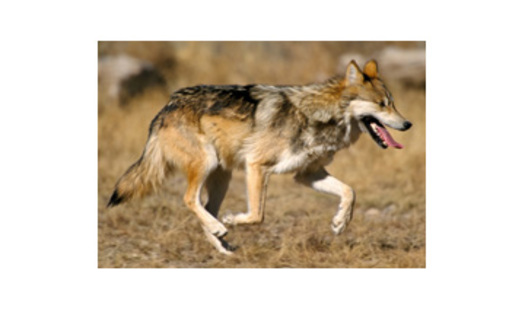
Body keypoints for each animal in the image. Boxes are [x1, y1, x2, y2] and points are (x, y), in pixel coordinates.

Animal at [106, 59, 412, 256]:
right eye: (382, 104)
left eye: (393, 103)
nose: (408, 124)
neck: (319, 116)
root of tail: (166, 106)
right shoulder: (257, 166)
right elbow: (257, 215)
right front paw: (233, 220)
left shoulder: (307, 174)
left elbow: (350, 191)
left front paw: (340, 222)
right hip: (208, 165)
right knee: (190, 200)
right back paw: (221, 228)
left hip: (222, 176)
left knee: (205, 207)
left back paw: (222, 246)